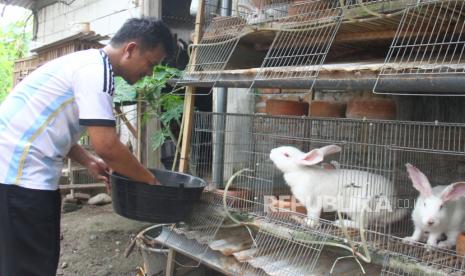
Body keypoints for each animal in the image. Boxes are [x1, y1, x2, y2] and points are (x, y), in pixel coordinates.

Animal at [268, 144, 406, 229]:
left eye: (286, 155)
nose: (271, 151)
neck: (299, 171)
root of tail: (392, 205)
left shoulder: (313, 202)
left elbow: (313, 215)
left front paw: (308, 223)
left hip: (358, 207)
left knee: (363, 225)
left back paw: (341, 223)